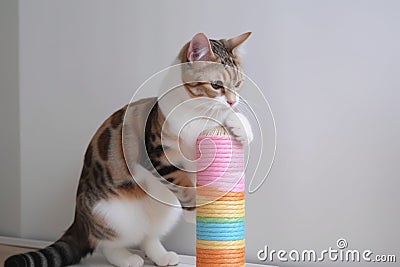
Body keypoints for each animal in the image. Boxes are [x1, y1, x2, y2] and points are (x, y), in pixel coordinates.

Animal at [5, 31, 253, 267]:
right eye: (216, 85)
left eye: (238, 84)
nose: (233, 101)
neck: (194, 110)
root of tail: (80, 219)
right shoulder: (158, 155)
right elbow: (182, 182)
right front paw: (196, 212)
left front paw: (241, 126)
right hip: (111, 214)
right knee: (107, 244)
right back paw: (126, 258)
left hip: (163, 212)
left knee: (148, 236)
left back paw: (162, 256)